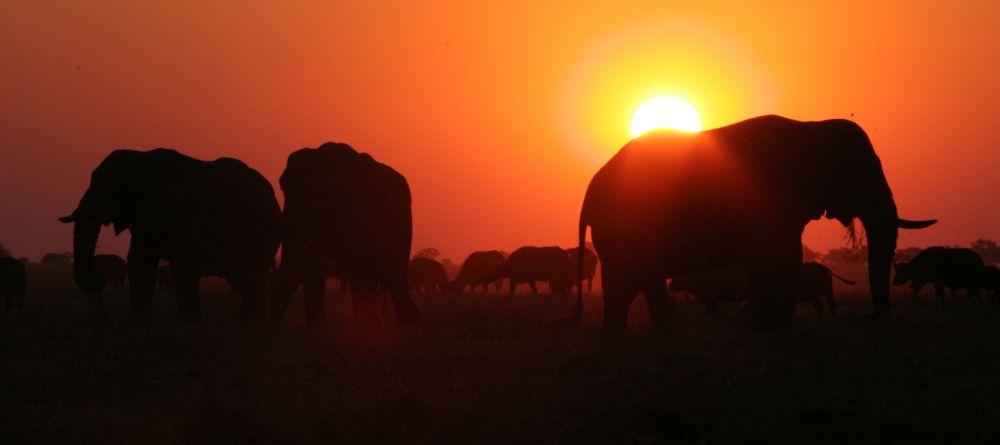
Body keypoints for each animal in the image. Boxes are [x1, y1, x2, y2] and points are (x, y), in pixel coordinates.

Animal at [59, 148, 281, 322]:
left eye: (107, 187)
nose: (99, 279)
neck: (140, 157)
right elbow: (139, 259)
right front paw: (139, 322)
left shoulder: (179, 212)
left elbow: (182, 264)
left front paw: (190, 324)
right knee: (244, 279)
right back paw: (248, 323)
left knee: (250, 275)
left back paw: (248, 324)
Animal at [269, 142, 420, 326]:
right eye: (282, 186)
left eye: (321, 190)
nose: (270, 329)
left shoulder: (358, 206)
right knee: (383, 278)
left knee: (387, 276)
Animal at [574, 115, 936, 330]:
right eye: (858, 172)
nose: (872, 319)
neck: (810, 128)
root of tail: (590, 191)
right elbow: (779, 257)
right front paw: (774, 328)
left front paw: (768, 325)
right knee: (631, 279)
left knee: (634, 282)